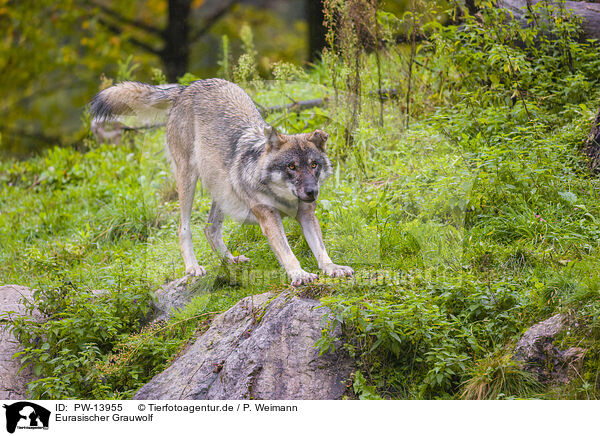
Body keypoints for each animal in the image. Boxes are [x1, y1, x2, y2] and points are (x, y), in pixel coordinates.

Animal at [89, 79, 352, 286]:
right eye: (292, 167)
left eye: (313, 165)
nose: (312, 192)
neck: (282, 196)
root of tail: (187, 87)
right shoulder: (268, 216)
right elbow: (287, 252)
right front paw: (299, 274)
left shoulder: (307, 214)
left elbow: (321, 249)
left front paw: (332, 268)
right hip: (188, 179)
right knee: (184, 228)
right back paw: (193, 268)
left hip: (221, 190)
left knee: (210, 228)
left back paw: (231, 260)